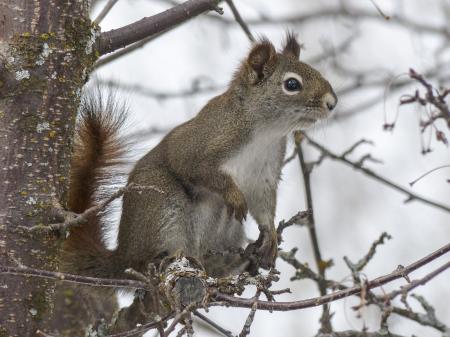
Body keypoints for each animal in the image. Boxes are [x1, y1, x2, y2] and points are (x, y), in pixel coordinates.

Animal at [62, 33, 338, 280]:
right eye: (292, 84)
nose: (332, 103)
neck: (266, 133)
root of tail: (122, 257)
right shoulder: (198, 146)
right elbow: (199, 170)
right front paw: (234, 195)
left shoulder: (265, 173)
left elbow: (264, 204)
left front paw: (269, 234)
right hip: (161, 205)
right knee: (150, 258)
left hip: (228, 231)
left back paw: (239, 261)